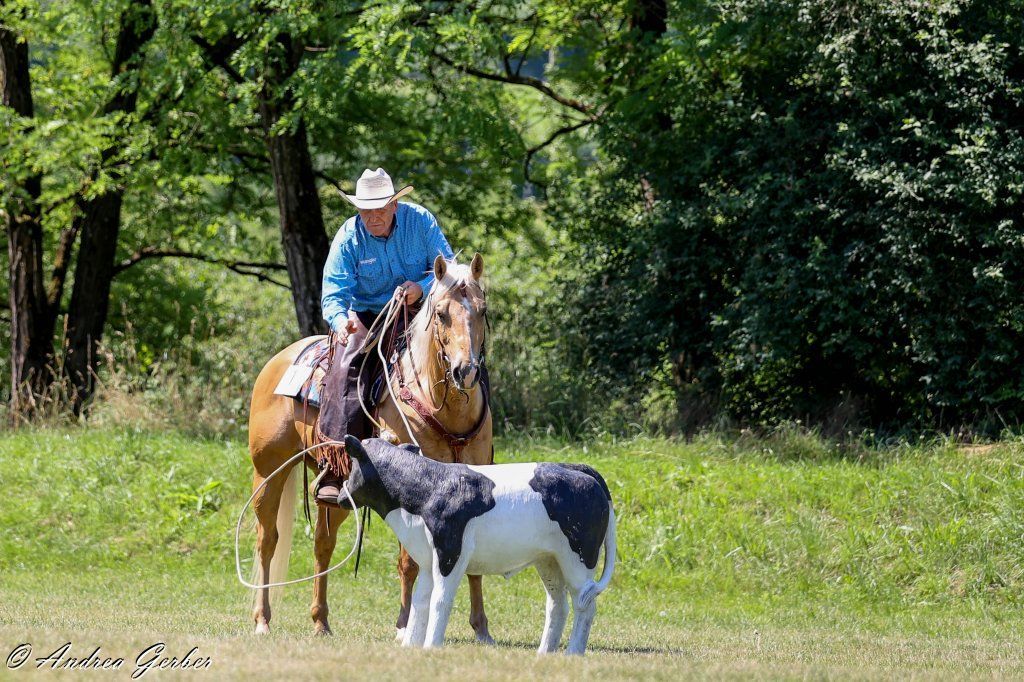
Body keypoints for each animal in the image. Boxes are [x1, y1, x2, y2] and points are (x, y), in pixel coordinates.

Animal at [245, 253, 494, 641]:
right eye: (441, 314)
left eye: (482, 310)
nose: (464, 371)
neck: (444, 408)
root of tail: (280, 360)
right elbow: (409, 562)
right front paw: (405, 625)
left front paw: (481, 628)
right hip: (268, 472)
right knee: (267, 540)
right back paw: (262, 619)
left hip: (336, 486)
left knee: (322, 544)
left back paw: (321, 621)